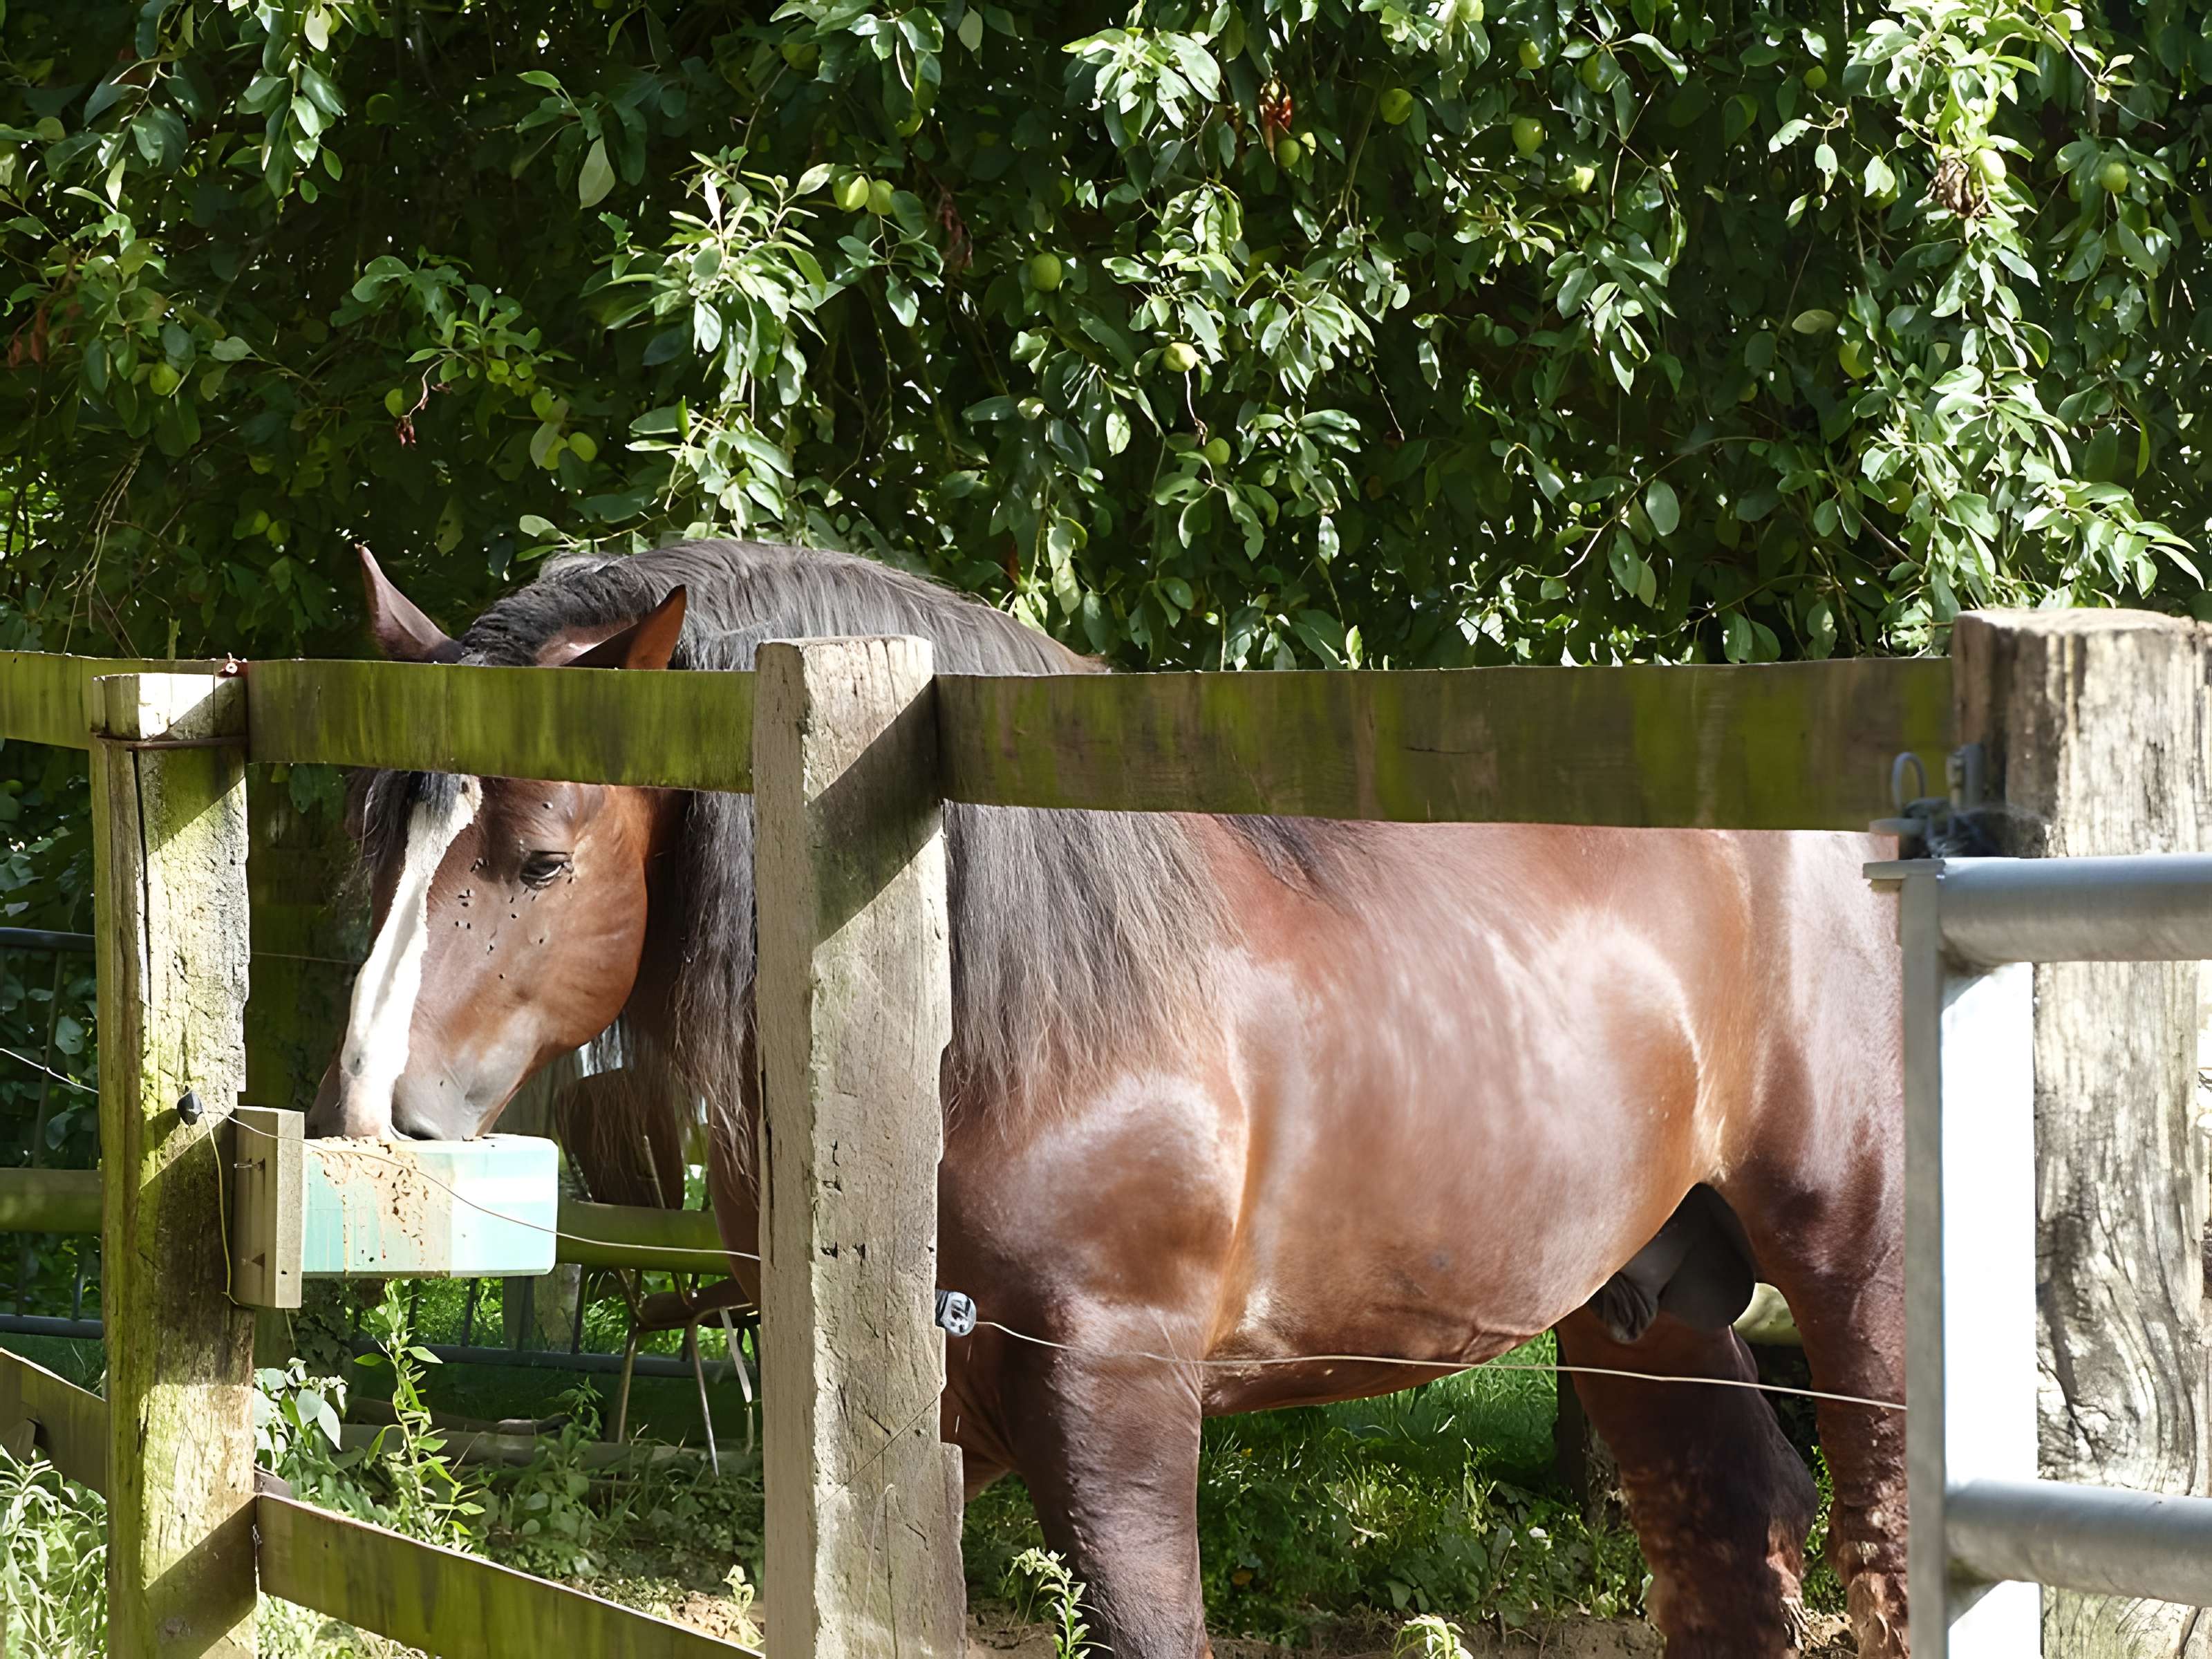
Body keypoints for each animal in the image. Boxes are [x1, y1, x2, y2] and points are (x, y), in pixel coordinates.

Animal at [306, 539, 1909, 1658]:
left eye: (540, 861)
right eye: (381, 841)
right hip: (1641, 1303)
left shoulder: (1117, 1397)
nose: (368, 1118)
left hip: (1861, 1293)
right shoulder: (924, 1432)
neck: (983, 1022)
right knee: (1732, 1534)